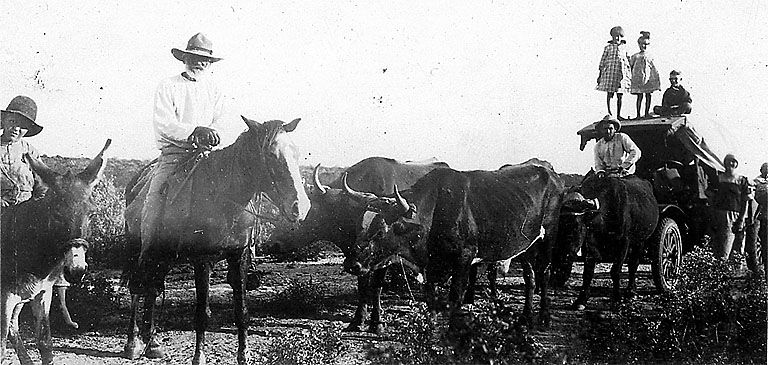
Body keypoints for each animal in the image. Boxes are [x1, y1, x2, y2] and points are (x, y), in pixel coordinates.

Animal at [0, 139, 109, 364]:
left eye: (92, 214)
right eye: (56, 214)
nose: (76, 271)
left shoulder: (42, 294)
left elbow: (45, 343)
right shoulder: (4, 296)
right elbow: (0, 347)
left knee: (14, 327)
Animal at [121, 117, 310, 364]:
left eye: (296, 152)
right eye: (270, 154)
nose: (301, 207)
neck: (224, 198)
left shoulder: (239, 256)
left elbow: (241, 311)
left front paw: (244, 355)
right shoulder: (203, 260)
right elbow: (202, 313)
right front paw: (199, 356)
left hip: (163, 256)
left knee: (152, 288)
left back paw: (153, 344)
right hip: (139, 251)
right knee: (137, 288)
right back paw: (133, 344)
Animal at [564, 171, 660, 310]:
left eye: (576, 225)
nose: (566, 254)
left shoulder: (623, 244)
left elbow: (615, 271)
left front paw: (616, 299)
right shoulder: (588, 246)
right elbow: (587, 273)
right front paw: (581, 300)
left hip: (640, 241)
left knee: (633, 264)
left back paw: (631, 291)